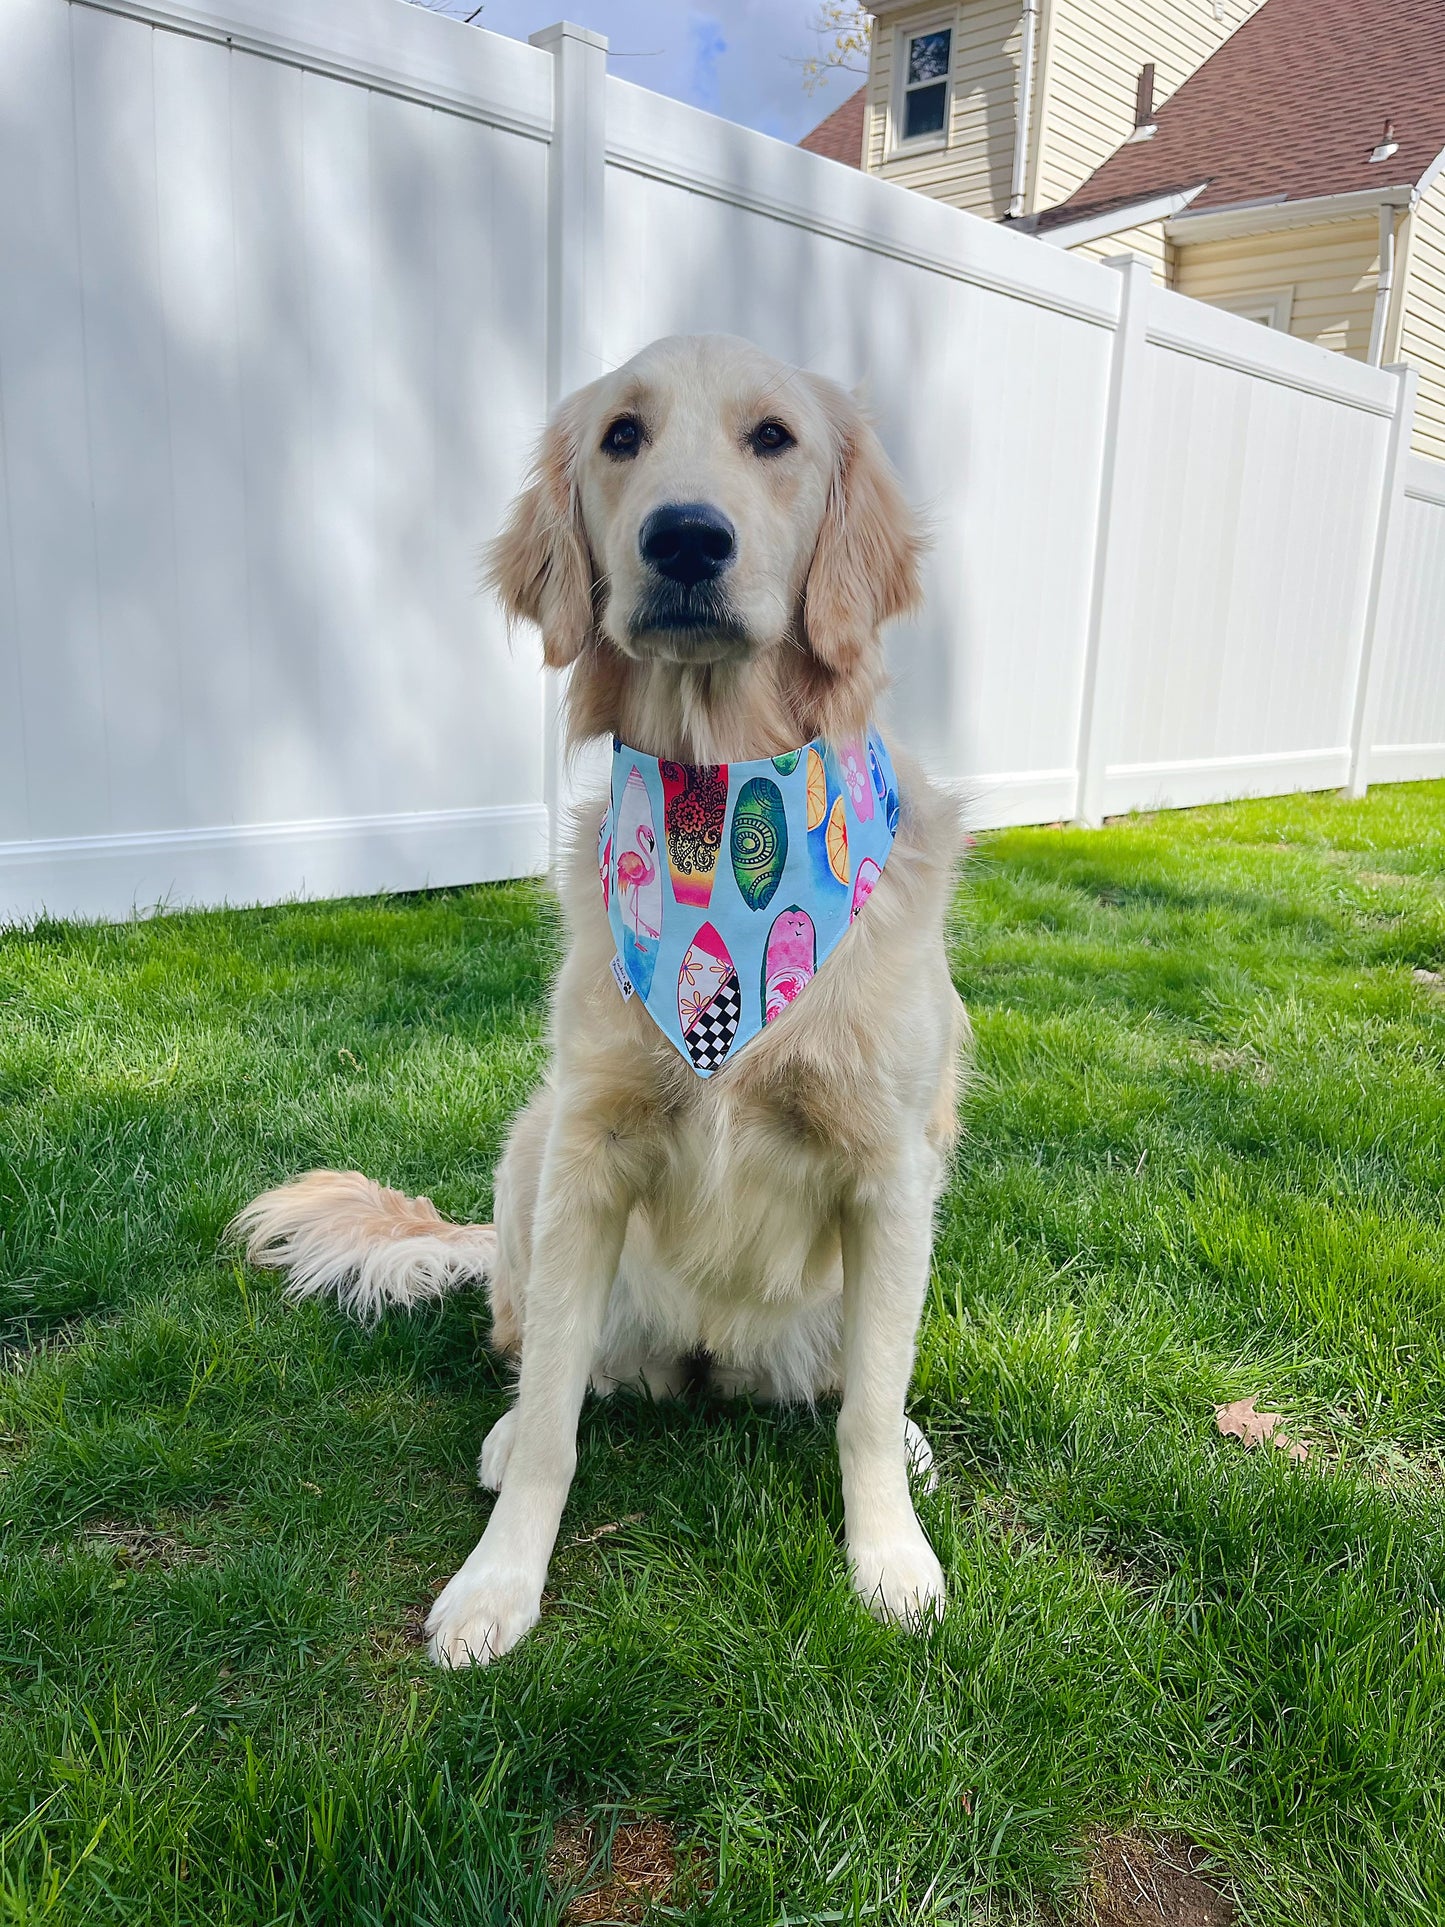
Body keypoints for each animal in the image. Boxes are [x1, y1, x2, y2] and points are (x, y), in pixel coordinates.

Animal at [237, 335, 974, 1672]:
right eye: (620, 437)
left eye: (774, 438)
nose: (684, 539)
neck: (722, 791)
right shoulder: (588, 1144)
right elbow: (549, 1425)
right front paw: (496, 1584)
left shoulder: (891, 1166)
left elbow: (864, 1400)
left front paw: (887, 1554)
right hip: (529, 1146)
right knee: (538, 1358)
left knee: (849, 1378)